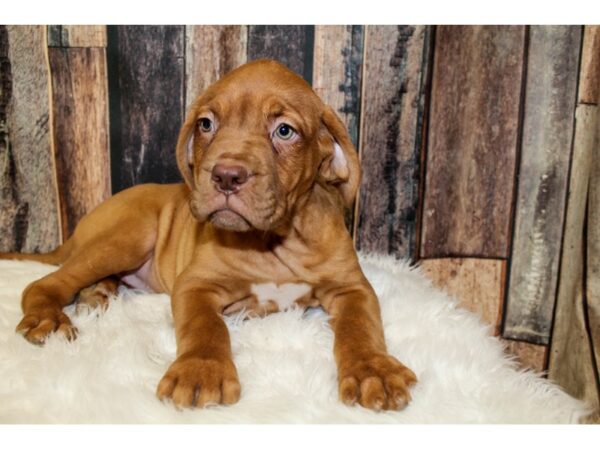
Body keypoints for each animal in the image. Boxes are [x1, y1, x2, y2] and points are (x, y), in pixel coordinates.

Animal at [2, 59, 418, 412]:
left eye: (284, 130)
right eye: (206, 124)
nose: (226, 176)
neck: (272, 240)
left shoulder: (352, 288)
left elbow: (359, 327)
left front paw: (372, 370)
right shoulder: (195, 284)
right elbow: (206, 327)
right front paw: (201, 371)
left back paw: (98, 293)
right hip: (130, 235)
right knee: (45, 283)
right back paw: (51, 317)